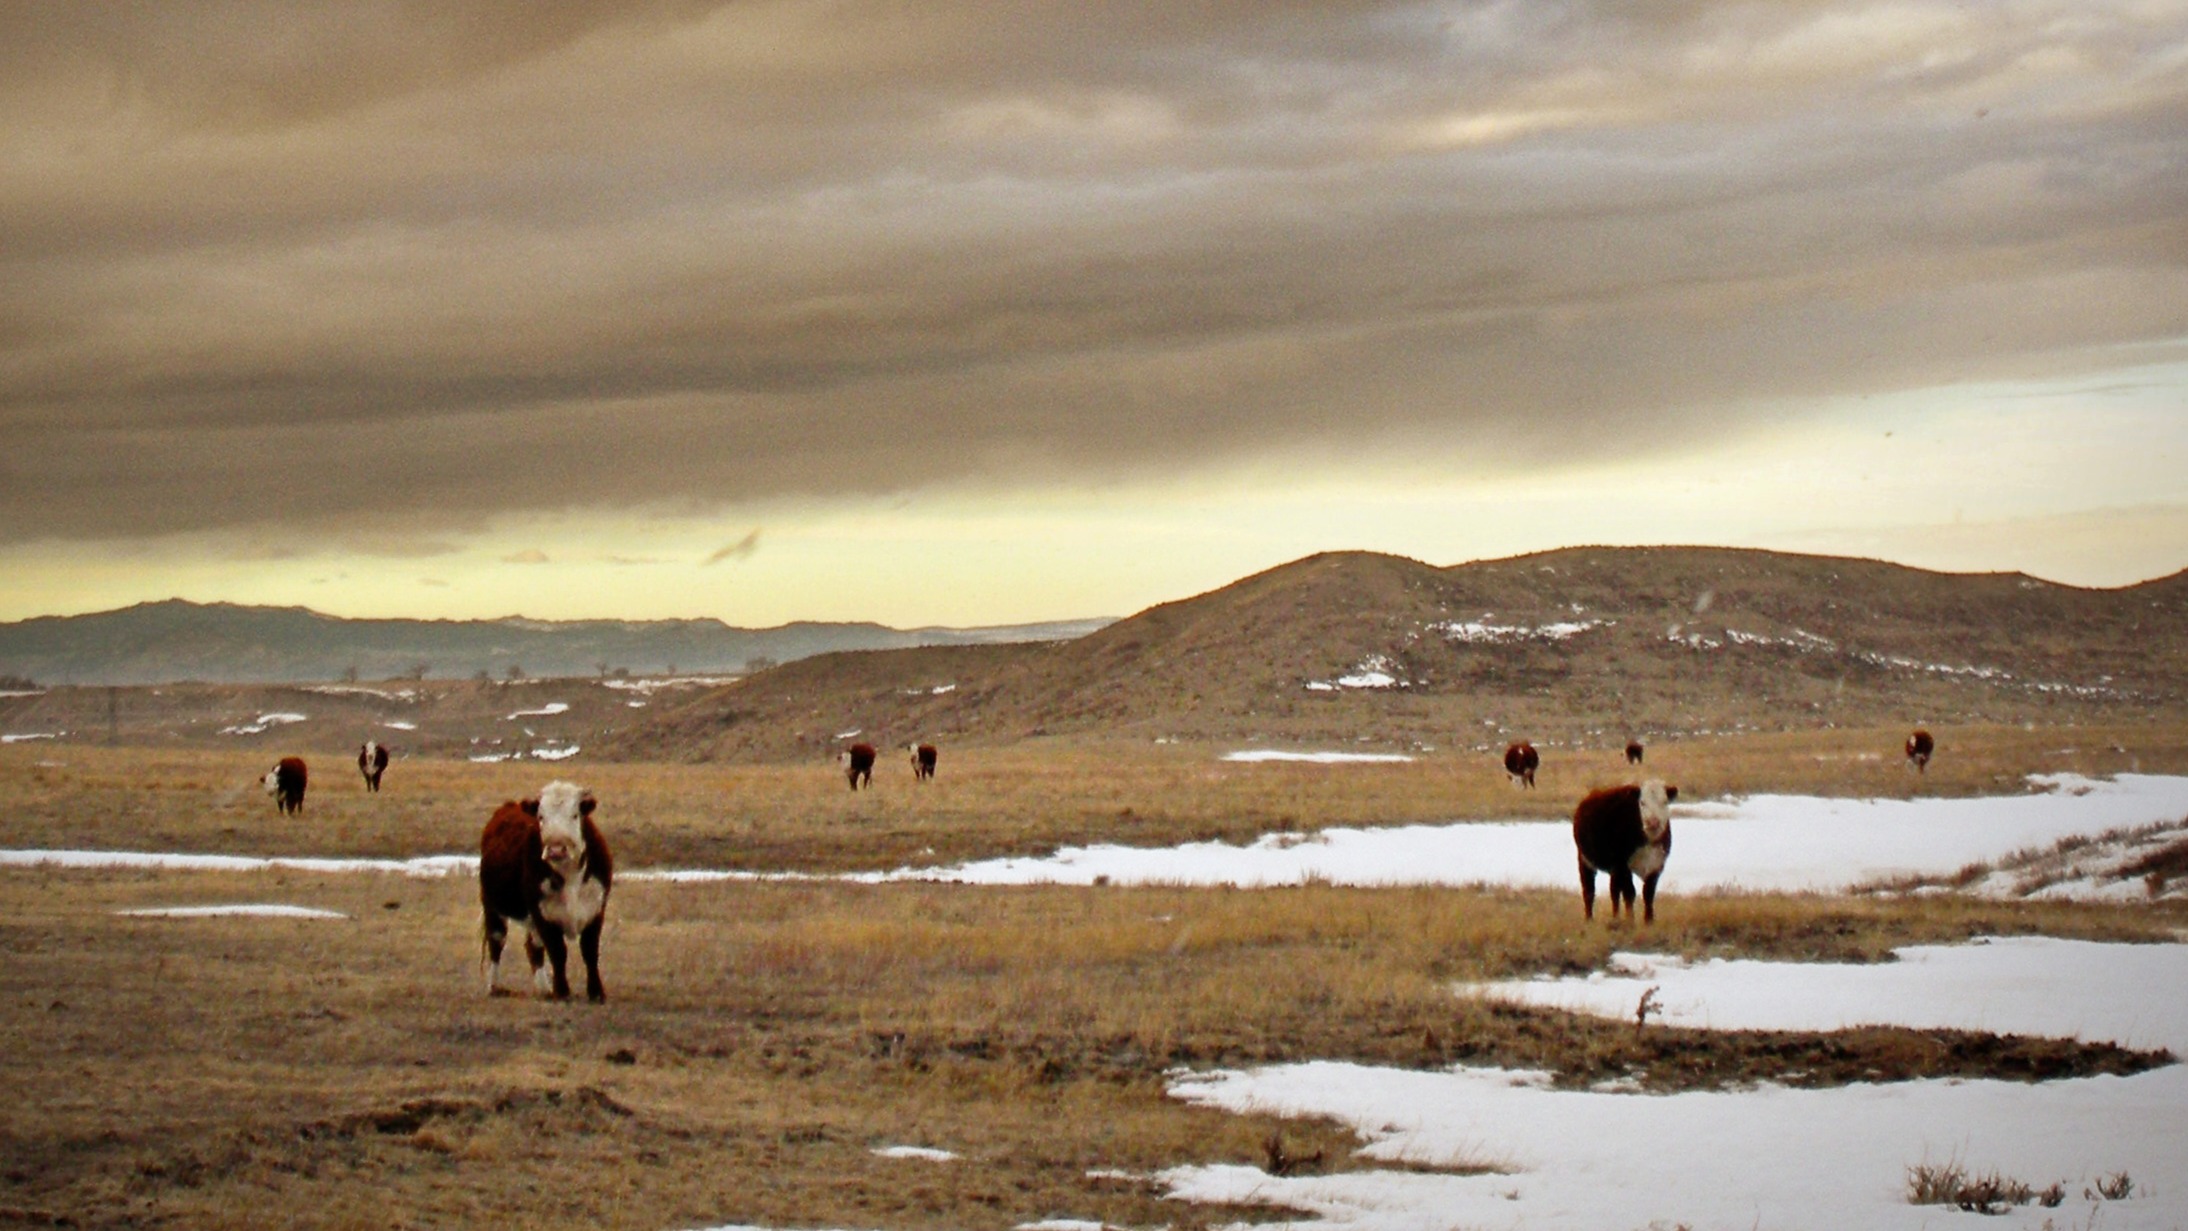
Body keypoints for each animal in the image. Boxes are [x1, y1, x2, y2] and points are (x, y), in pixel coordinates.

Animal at [481, 787, 617, 1005]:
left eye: (575, 815)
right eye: (541, 816)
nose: (556, 849)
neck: (569, 875)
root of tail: (508, 807)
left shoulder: (596, 909)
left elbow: (589, 950)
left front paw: (596, 993)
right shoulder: (542, 913)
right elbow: (558, 951)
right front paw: (562, 992)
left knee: (533, 947)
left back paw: (544, 989)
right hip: (492, 906)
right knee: (497, 941)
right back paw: (495, 986)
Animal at [1575, 778, 1671, 927]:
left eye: (1665, 801)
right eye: (1642, 802)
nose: (1653, 822)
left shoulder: (1657, 864)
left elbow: (1648, 893)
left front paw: (1649, 921)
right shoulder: (1623, 865)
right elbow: (1630, 893)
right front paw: (1630, 920)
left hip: (1613, 869)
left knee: (1614, 891)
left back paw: (1615, 917)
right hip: (1585, 860)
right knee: (1589, 890)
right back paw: (1589, 919)